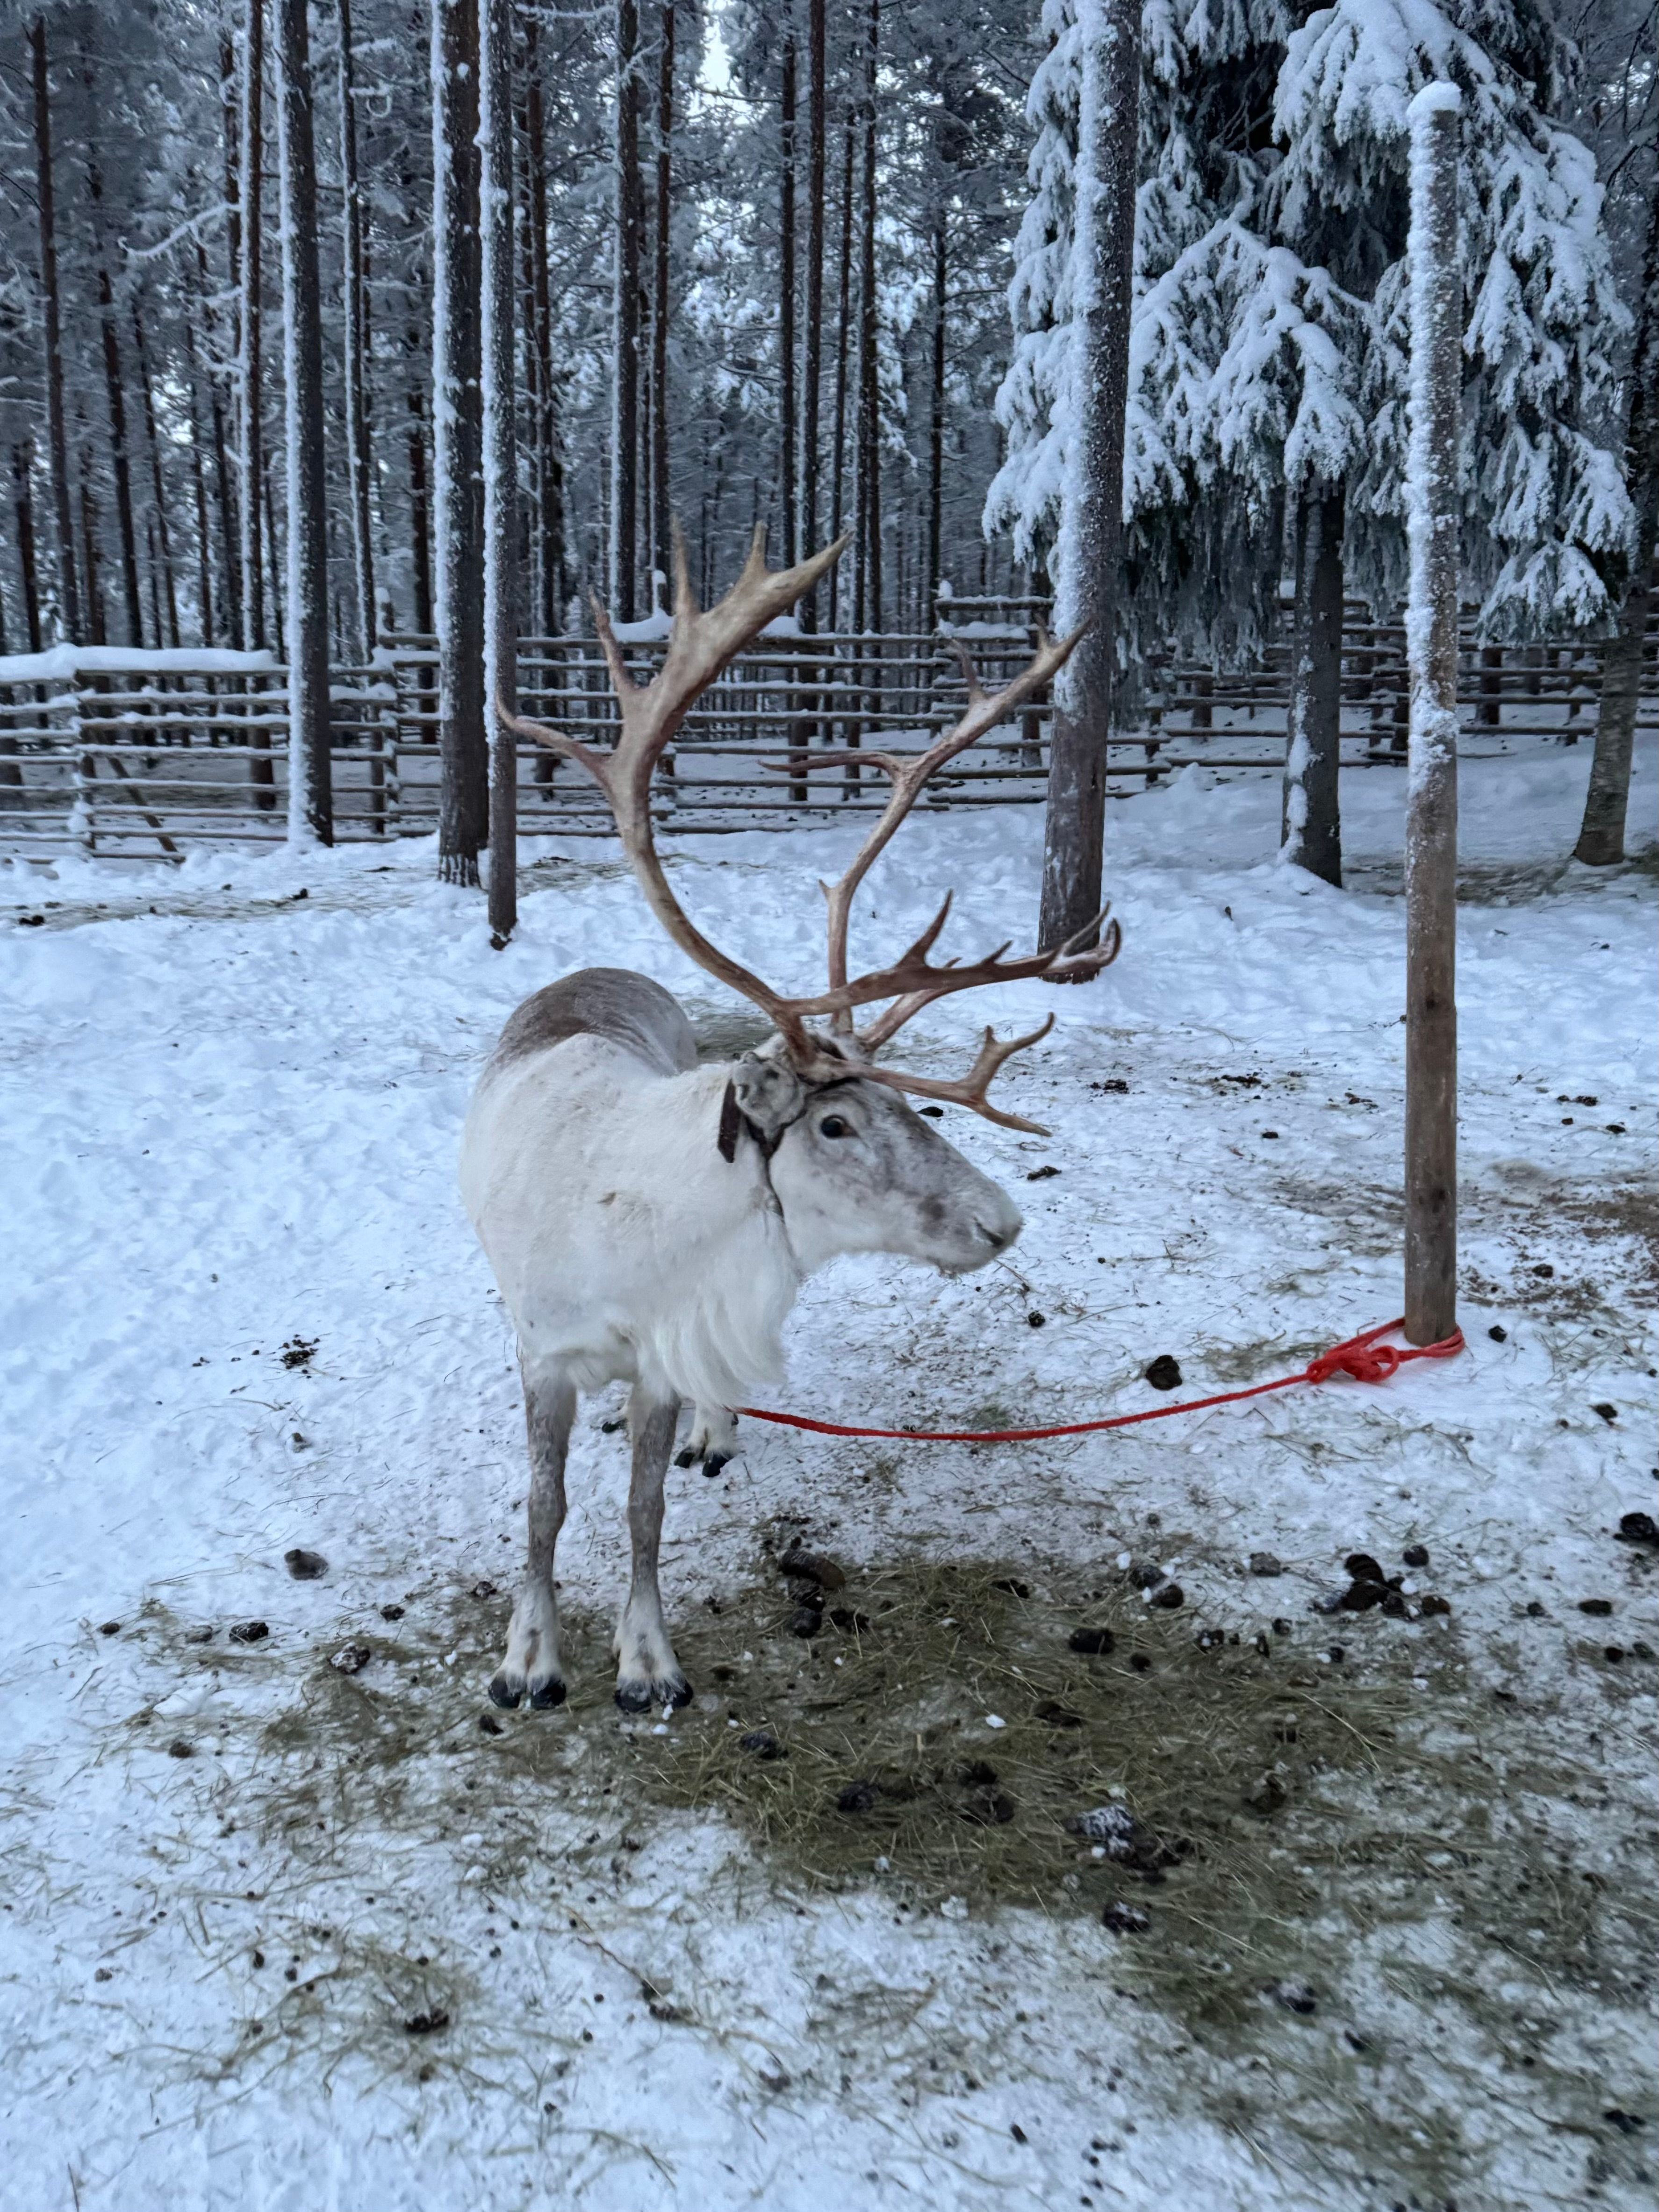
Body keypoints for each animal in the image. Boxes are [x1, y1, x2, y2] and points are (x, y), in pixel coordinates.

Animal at [459, 528, 1120, 1716]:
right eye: (837, 1125)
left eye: (908, 1102)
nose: (1000, 1220)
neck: (643, 1239)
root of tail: (602, 968)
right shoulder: (542, 1348)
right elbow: (543, 1507)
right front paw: (527, 1658)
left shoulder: (666, 1352)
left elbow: (643, 1510)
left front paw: (647, 1662)